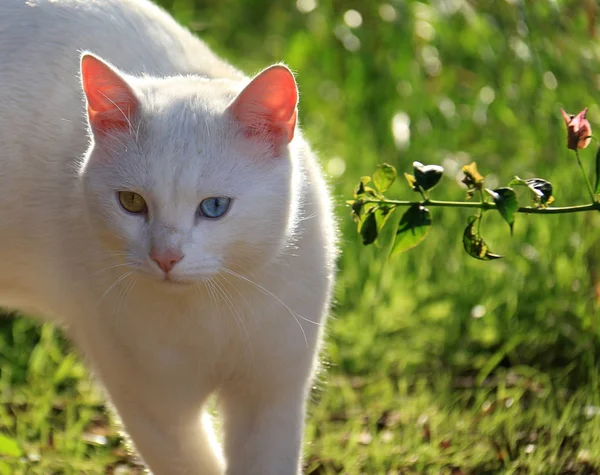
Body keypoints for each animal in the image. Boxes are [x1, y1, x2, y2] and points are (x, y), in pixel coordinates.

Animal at [0, 0, 336, 475]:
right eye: (131, 202)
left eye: (214, 207)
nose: (165, 257)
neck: (211, 312)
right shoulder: (153, 406)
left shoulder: (272, 397)